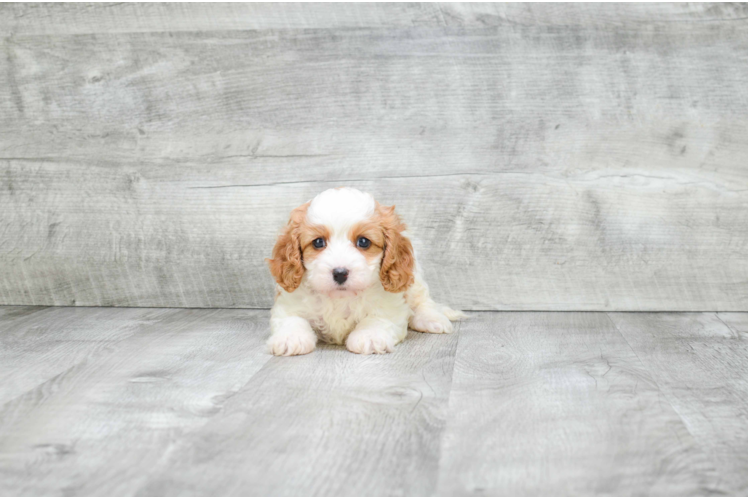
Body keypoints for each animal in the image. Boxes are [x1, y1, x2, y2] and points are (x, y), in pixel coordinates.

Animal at [266, 188, 464, 356]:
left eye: (363, 242)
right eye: (318, 242)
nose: (340, 273)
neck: (340, 298)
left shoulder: (390, 305)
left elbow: (377, 318)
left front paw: (369, 336)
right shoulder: (289, 302)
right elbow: (292, 318)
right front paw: (290, 338)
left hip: (415, 282)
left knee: (423, 301)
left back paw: (431, 319)